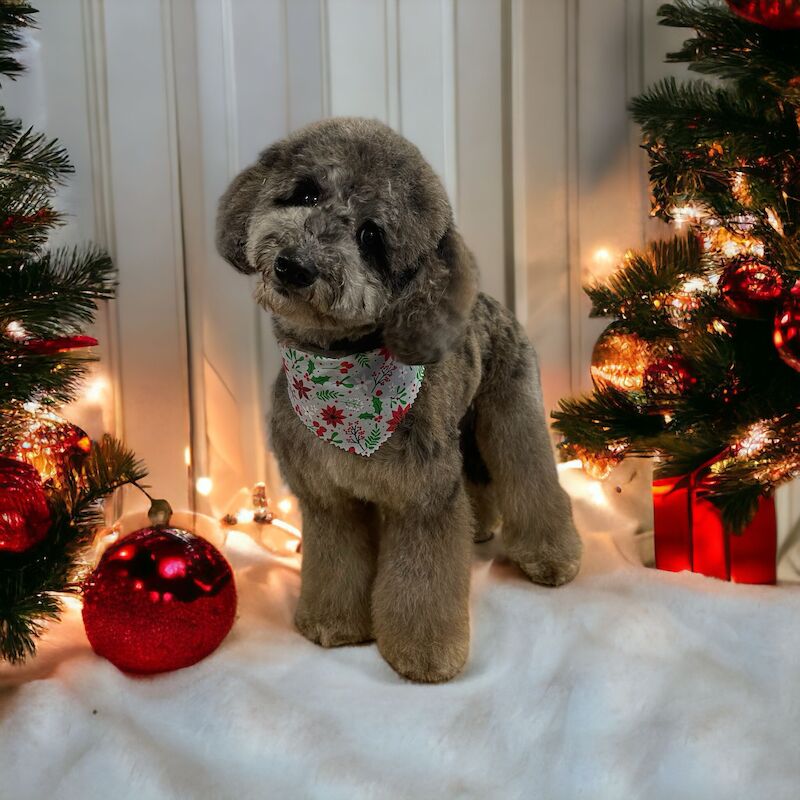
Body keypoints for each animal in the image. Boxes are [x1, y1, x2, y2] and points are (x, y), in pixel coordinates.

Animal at [217, 117, 580, 680]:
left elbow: (423, 581)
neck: (337, 383)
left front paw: (425, 654)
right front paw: (332, 624)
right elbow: (336, 562)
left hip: (510, 411)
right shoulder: (327, 499)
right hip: (461, 431)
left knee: (530, 472)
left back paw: (550, 556)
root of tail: (487, 300)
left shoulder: (422, 500)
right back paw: (481, 527)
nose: (294, 266)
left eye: (371, 236)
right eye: (306, 193)